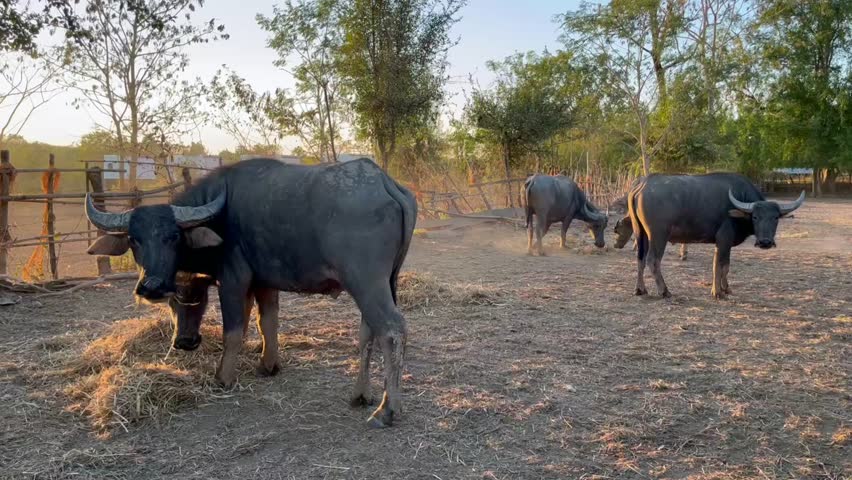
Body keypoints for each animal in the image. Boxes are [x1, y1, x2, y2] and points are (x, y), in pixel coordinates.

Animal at [86, 158, 417, 428]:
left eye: (173, 236)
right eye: (134, 238)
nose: (152, 286)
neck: (218, 220)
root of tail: (385, 182)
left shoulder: (233, 281)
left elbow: (234, 330)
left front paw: (223, 377)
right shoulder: (264, 284)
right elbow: (266, 323)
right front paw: (268, 365)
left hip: (366, 283)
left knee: (392, 329)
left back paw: (388, 410)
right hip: (385, 283)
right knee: (368, 332)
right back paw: (361, 395)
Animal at [626, 173, 804, 299]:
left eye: (775, 217)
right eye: (755, 217)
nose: (765, 242)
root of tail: (642, 185)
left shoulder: (723, 244)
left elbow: (722, 265)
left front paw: (725, 288)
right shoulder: (724, 240)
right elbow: (720, 265)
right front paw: (717, 292)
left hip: (640, 232)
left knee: (640, 258)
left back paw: (640, 289)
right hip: (658, 235)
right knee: (652, 259)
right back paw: (664, 291)